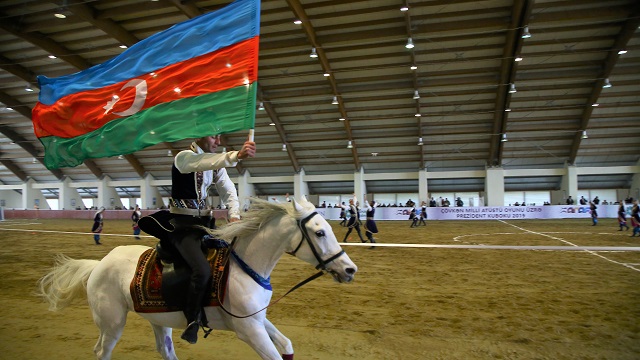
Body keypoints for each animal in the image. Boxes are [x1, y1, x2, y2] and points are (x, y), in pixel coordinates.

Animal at [38, 198, 360, 360]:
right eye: (320, 232)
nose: (349, 270)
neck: (244, 268)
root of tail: (99, 266)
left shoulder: (258, 320)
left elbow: (288, 345)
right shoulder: (249, 331)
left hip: (159, 320)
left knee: (165, 350)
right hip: (112, 324)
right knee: (102, 351)